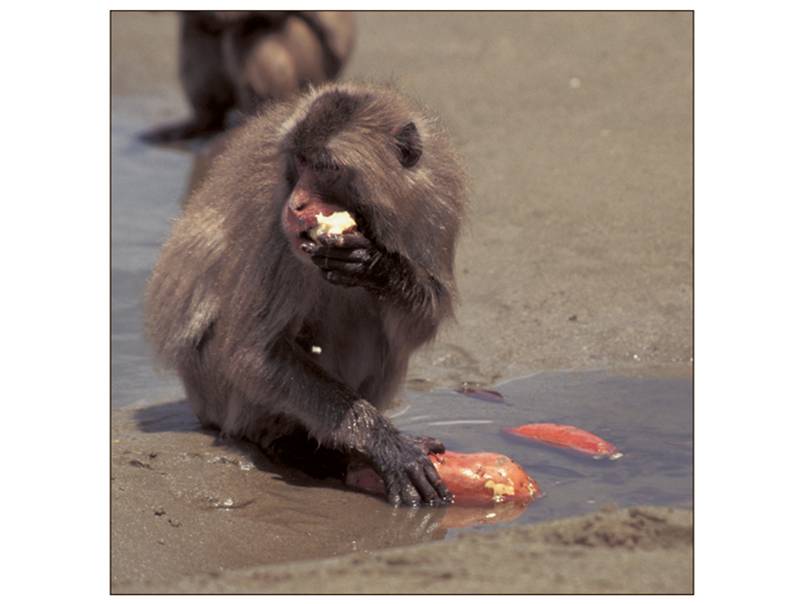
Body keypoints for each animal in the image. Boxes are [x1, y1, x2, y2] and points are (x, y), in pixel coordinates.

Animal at [146, 81, 464, 504]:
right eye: (300, 161)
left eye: (326, 167)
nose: (296, 203)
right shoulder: (275, 223)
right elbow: (253, 353)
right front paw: (385, 444)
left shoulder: (437, 203)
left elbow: (421, 323)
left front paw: (380, 267)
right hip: (216, 394)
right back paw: (295, 446)